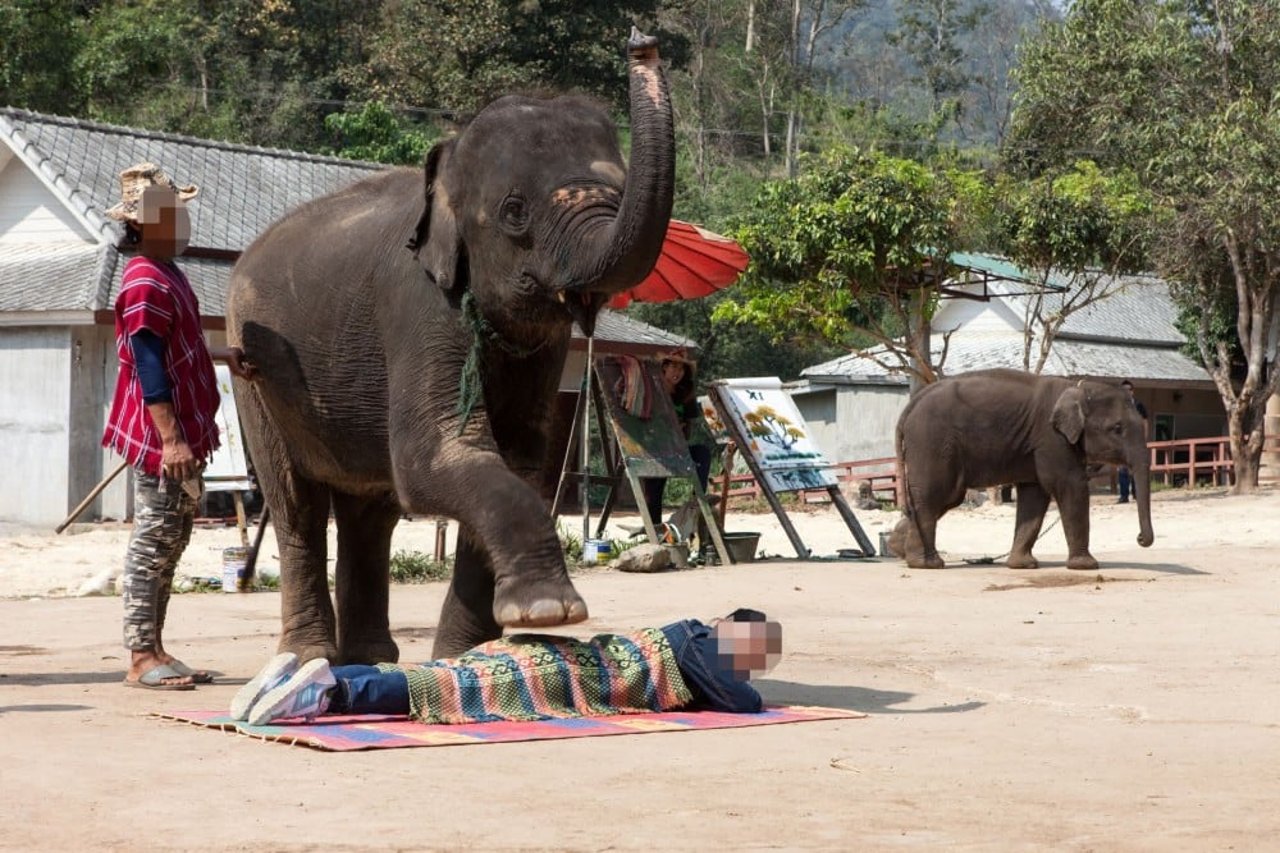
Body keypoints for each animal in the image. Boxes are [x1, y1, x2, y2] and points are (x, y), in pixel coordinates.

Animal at [227, 31, 680, 655]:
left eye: (617, 188)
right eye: (514, 213)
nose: (643, 43)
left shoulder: (542, 346)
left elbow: (517, 458)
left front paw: (467, 655)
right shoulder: (416, 304)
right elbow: (440, 453)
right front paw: (550, 611)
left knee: (371, 510)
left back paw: (372, 659)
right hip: (252, 374)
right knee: (297, 507)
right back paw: (309, 657)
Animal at [896, 368, 1157, 568]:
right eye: (1117, 428)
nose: (1139, 538)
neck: (1077, 388)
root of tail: (912, 404)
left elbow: (1035, 495)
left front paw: (1023, 565)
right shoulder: (1052, 439)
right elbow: (1070, 486)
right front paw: (1087, 566)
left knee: (940, 499)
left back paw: (904, 551)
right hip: (932, 442)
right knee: (937, 495)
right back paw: (927, 563)